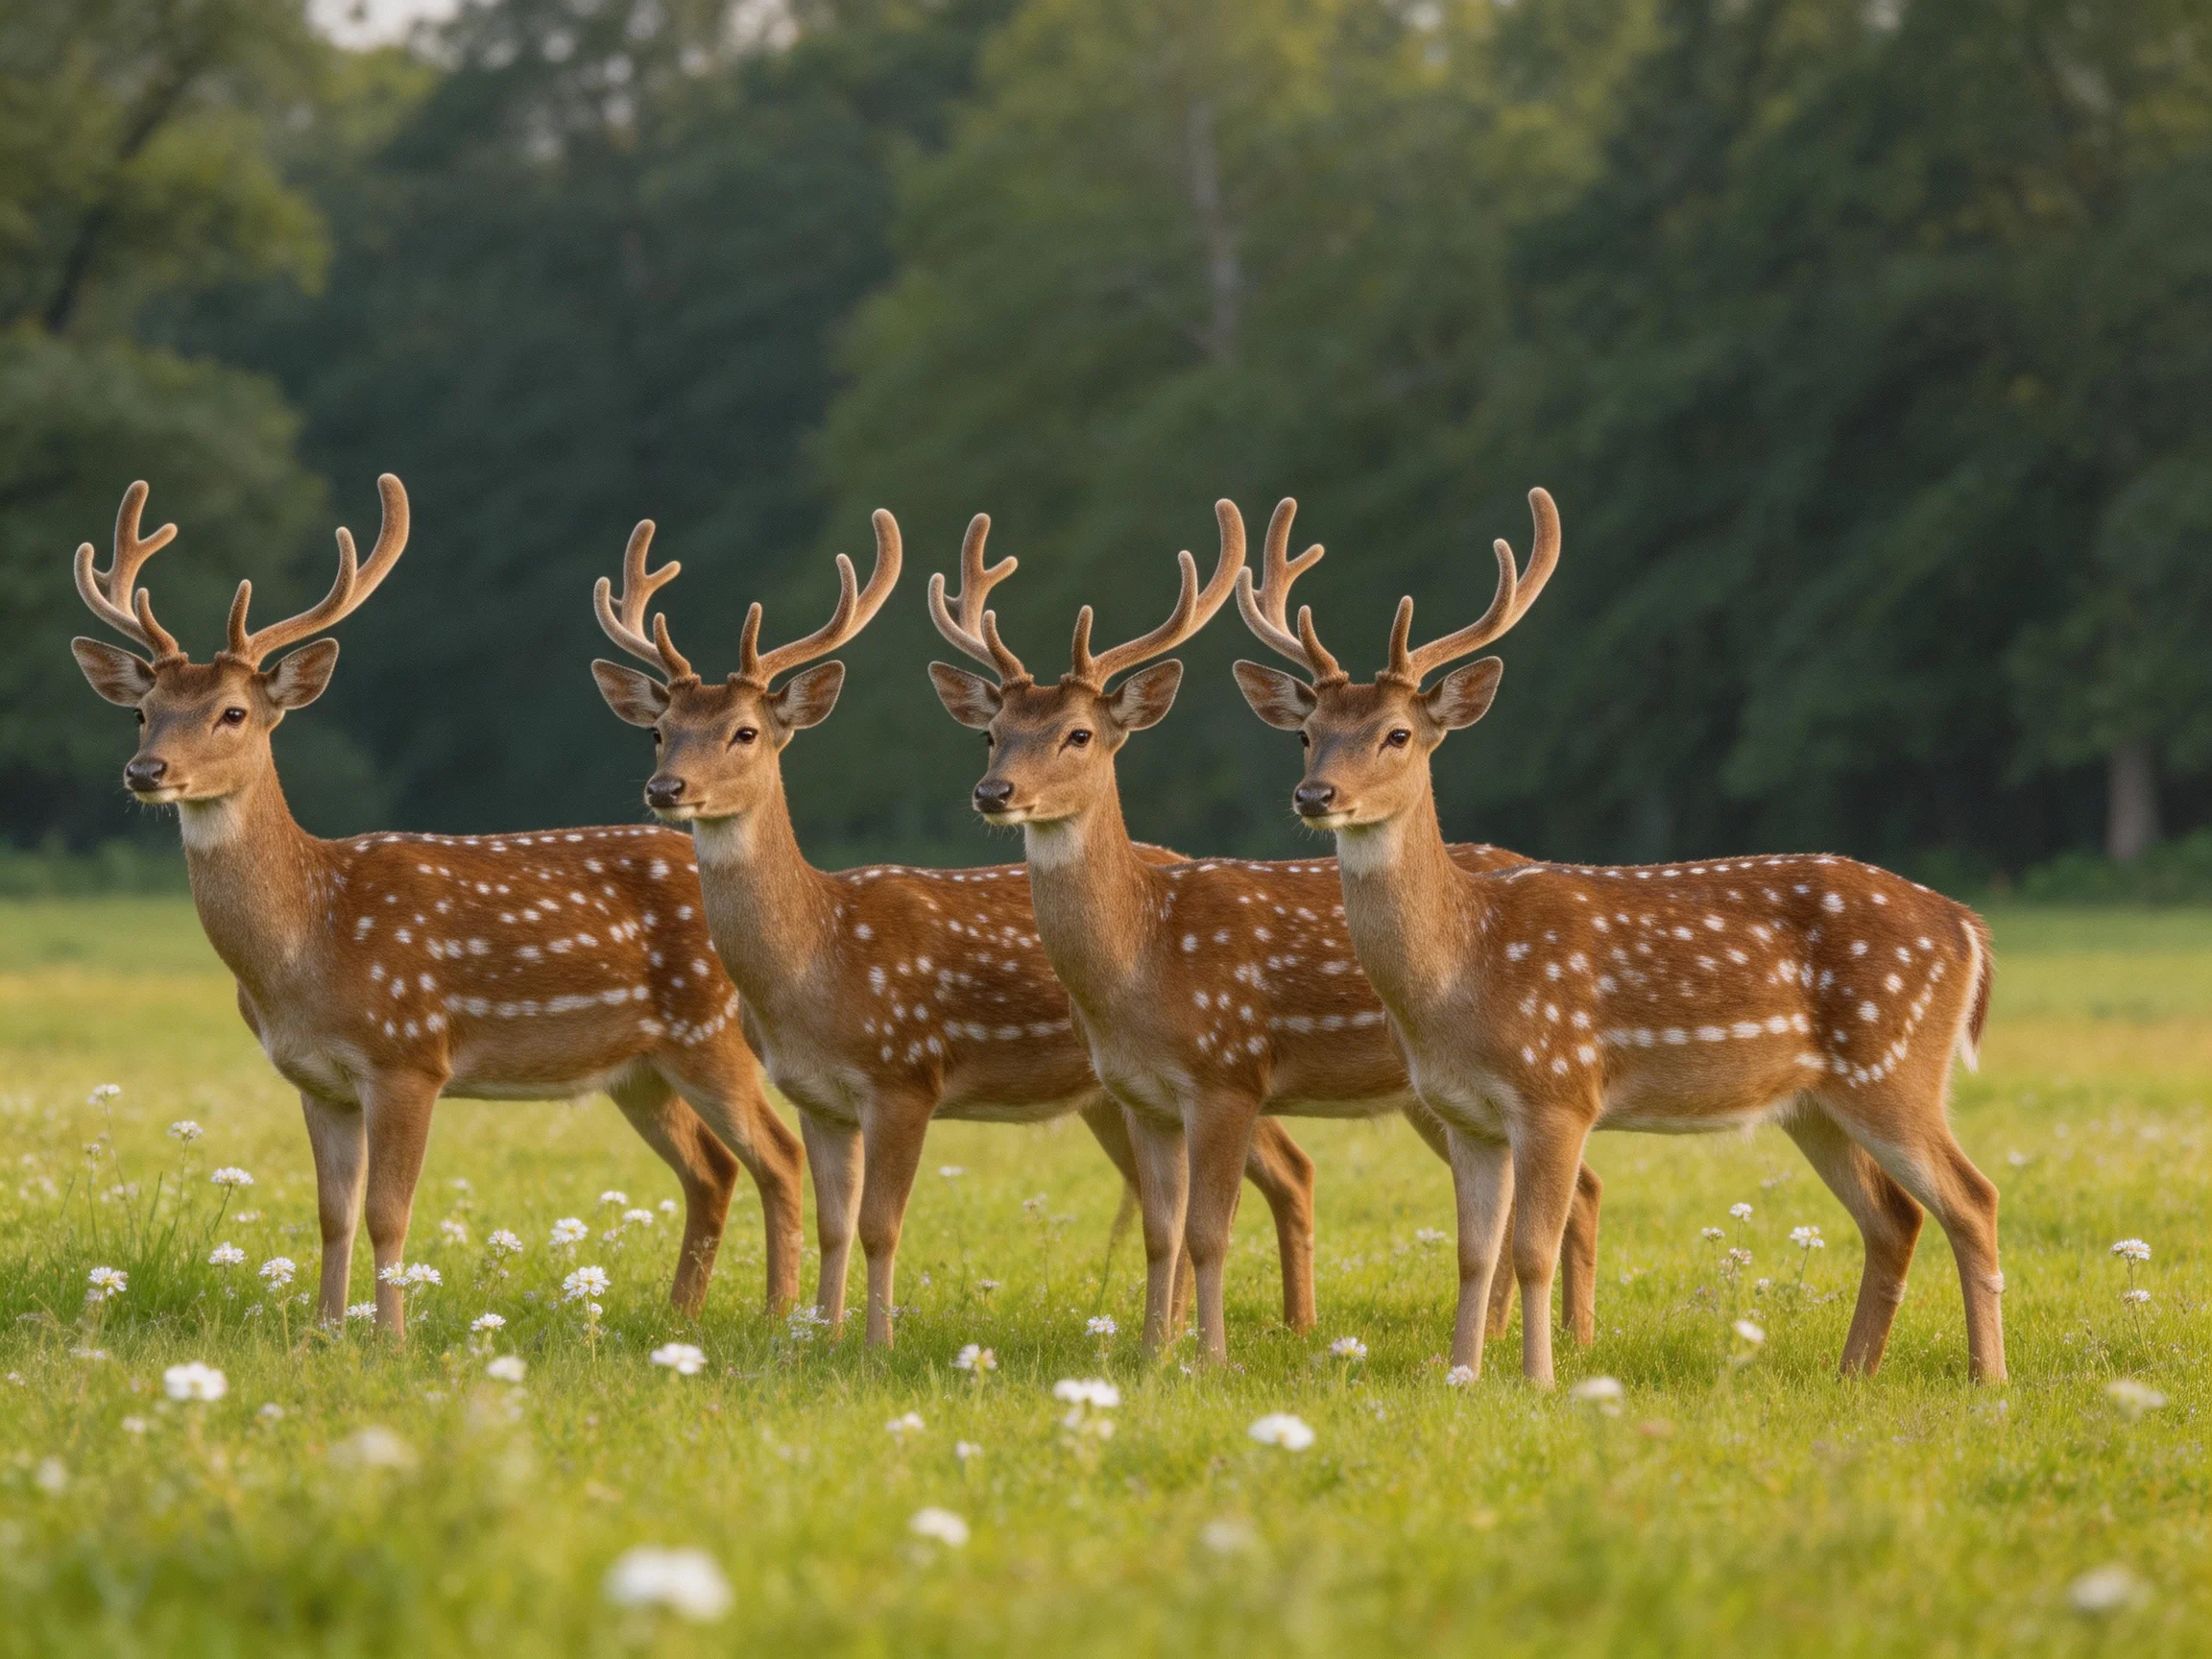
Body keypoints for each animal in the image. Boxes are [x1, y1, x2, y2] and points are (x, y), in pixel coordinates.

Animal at [68, 477, 807, 1340]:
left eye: (233, 712)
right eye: (141, 711)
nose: (145, 771)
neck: (309, 941)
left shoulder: (409, 1054)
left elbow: (388, 1211)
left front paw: (389, 1339)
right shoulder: (316, 1079)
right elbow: (332, 1214)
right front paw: (325, 1335)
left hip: (713, 1033)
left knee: (779, 1155)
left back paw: (780, 1320)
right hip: (641, 1070)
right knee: (713, 1169)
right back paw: (678, 1319)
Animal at [586, 512, 1326, 1348]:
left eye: (745, 732)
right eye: (659, 731)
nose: (666, 787)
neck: (817, 960)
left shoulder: (904, 1072)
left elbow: (879, 1223)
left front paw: (873, 1347)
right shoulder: (816, 1094)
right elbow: (835, 1223)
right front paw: (818, 1340)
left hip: (1208, 1071)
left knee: (1290, 1166)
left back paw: (1288, 1328)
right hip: (1117, 1097)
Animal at [925, 500, 1605, 1366]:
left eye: (1078, 734)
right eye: (992, 732)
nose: (994, 791)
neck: (1143, 957)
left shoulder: (1227, 1074)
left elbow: (1208, 1232)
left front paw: (1208, 1360)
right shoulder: (1140, 1093)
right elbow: (1159, 1233)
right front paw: (1150, 1355)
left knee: (1577, 1186)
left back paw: (1565, 1343)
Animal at [1231, 487, 2005, 1385]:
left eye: (1398, 733)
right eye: (1306, 732)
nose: (1315, 795)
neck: (1462, 972)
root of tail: (1968, 927)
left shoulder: (1560, 1089)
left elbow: (1529, 1248)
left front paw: (1537, 1380)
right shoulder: (1466, 1115)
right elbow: (1472, 1253)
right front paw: (1462, 1375)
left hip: (1895, 1062)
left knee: (1972, 1198)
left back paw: (1988, 1377)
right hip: (1815, 1101)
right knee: (1895, 1217)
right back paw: (1853, 1374)